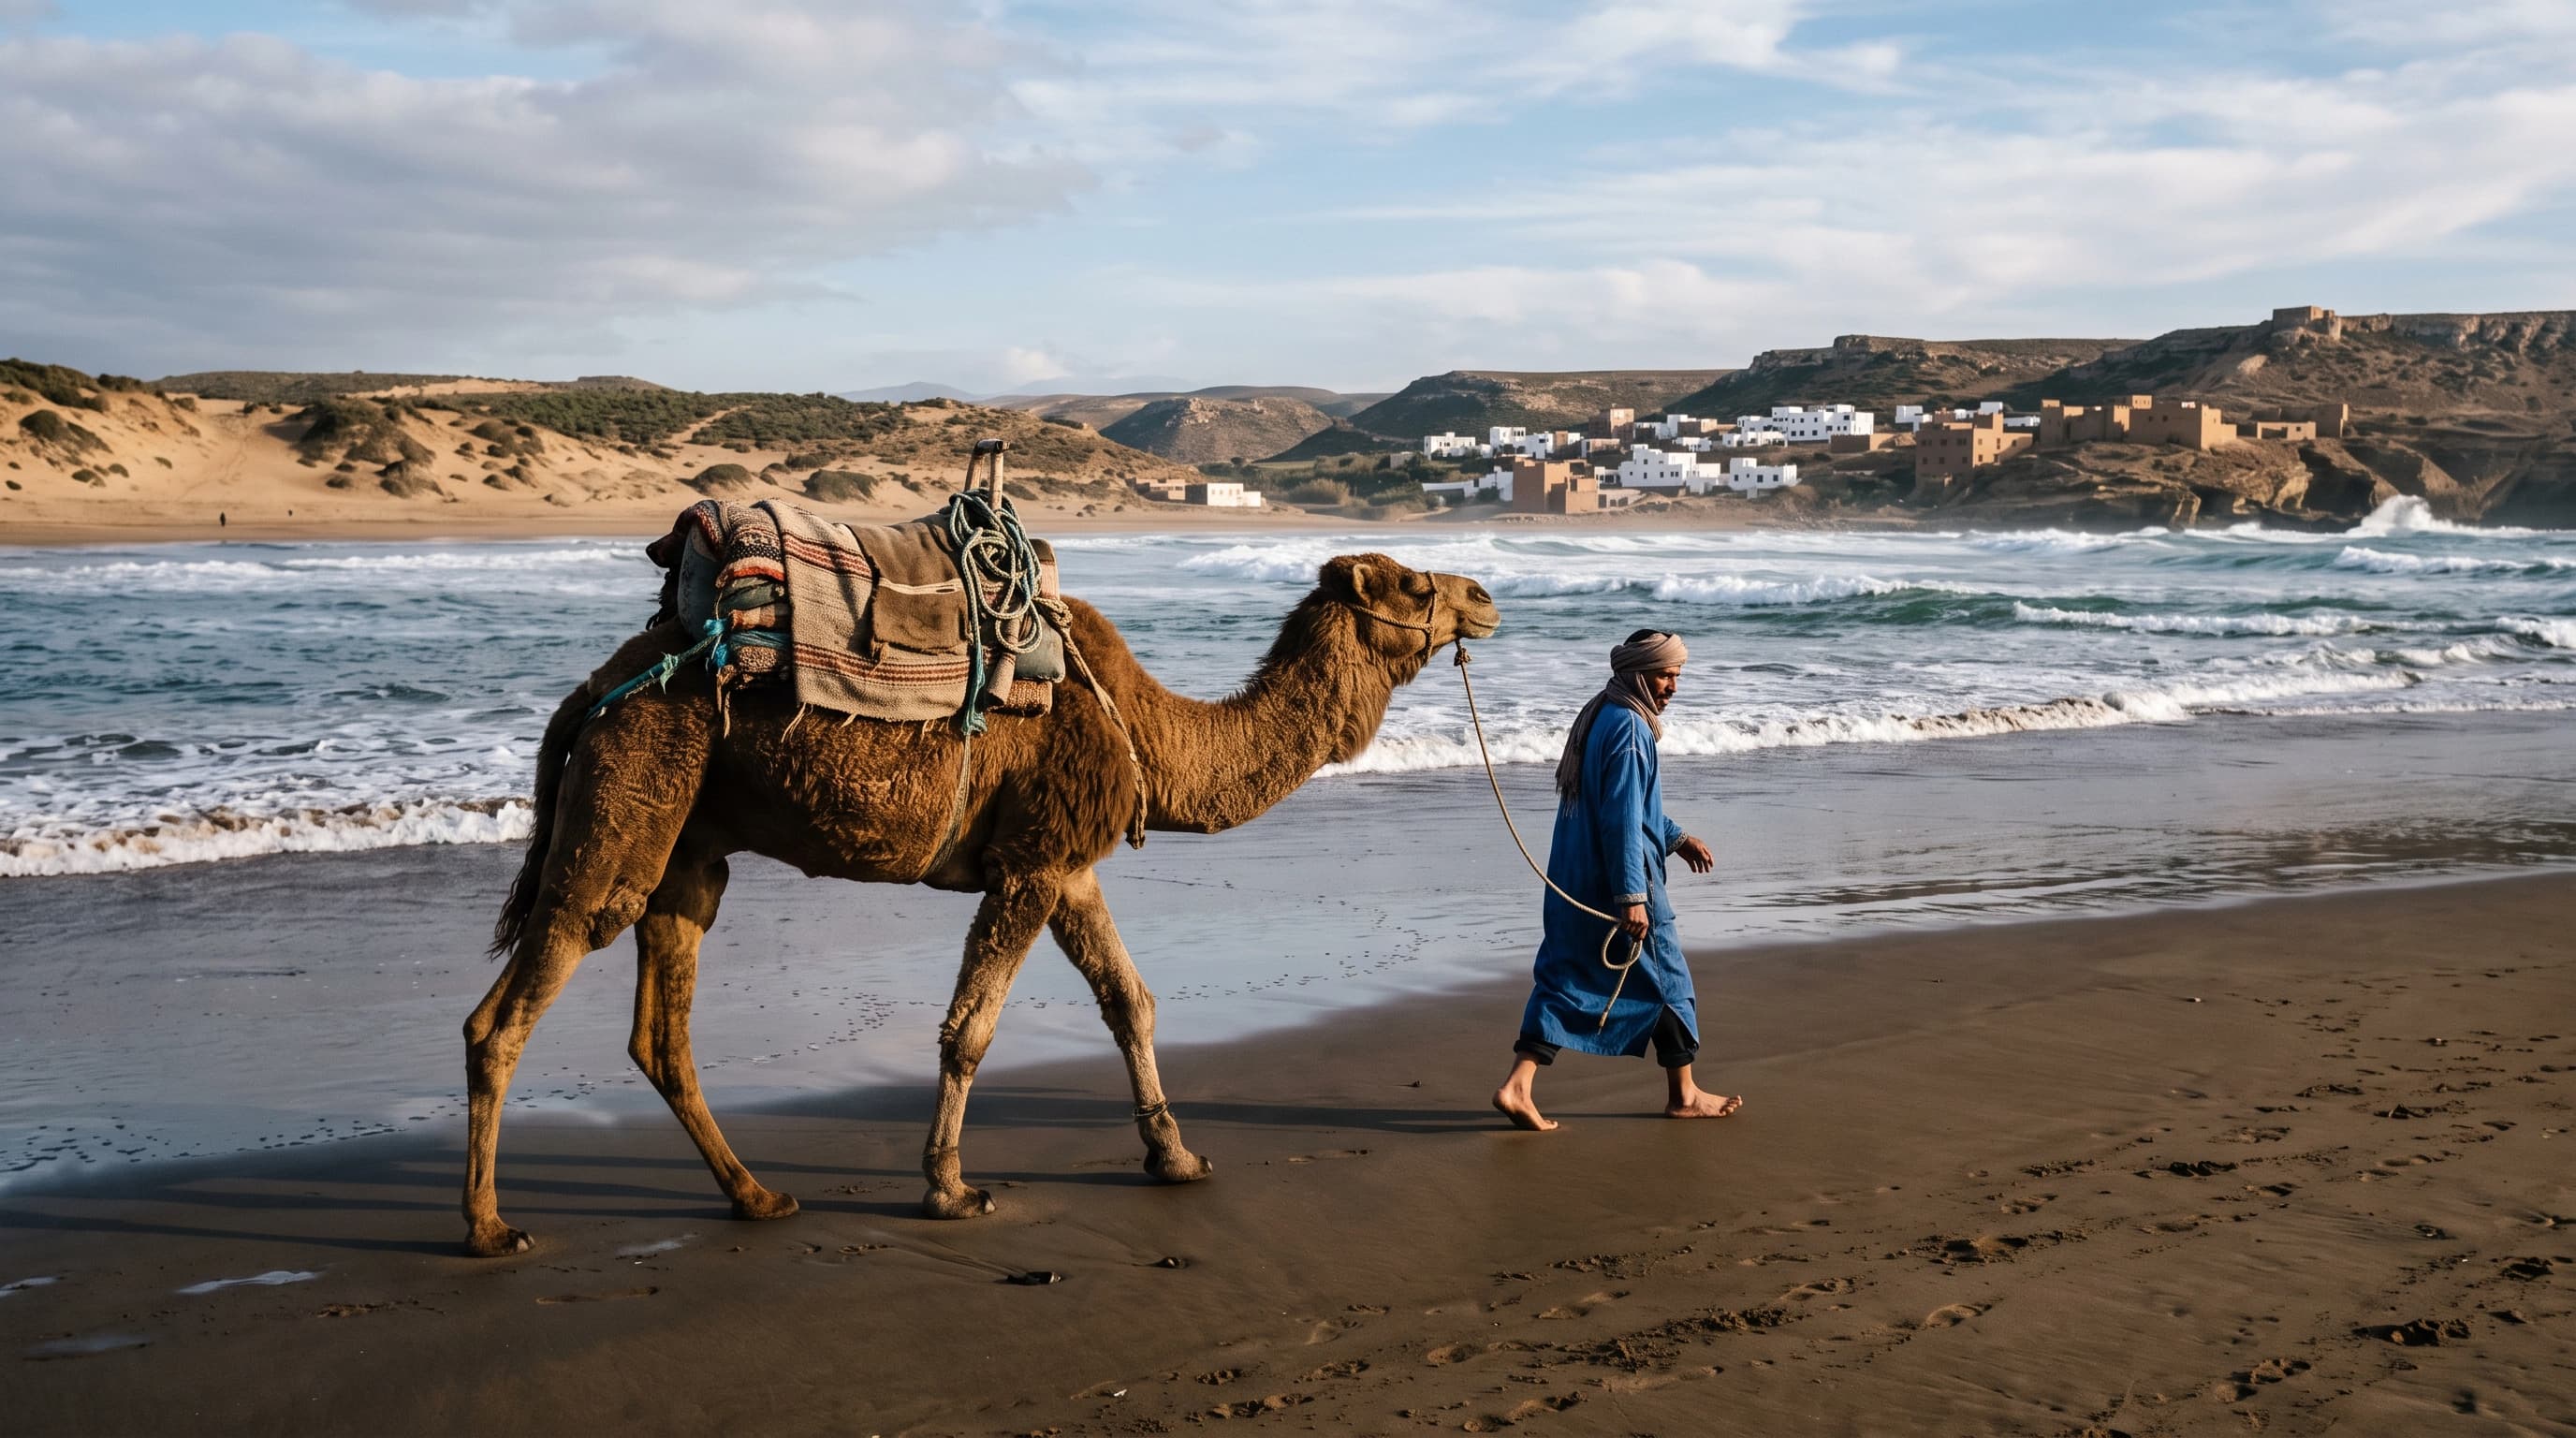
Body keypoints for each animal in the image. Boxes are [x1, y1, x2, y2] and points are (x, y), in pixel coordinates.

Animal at [462, 550, 1501, 1256]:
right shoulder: (1032, 862)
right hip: (630, 799)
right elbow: (971, 1028)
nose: (1485, 598)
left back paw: (756, 1197)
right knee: (516, 1003)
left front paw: (1175, 1159)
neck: (1149, 731)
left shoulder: (1070, 864)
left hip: (689, 847)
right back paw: (489, 1227)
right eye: (1414, 587)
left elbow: (1130, 1001)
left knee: (660, 1030)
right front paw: (949, 1189)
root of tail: (591, 692)